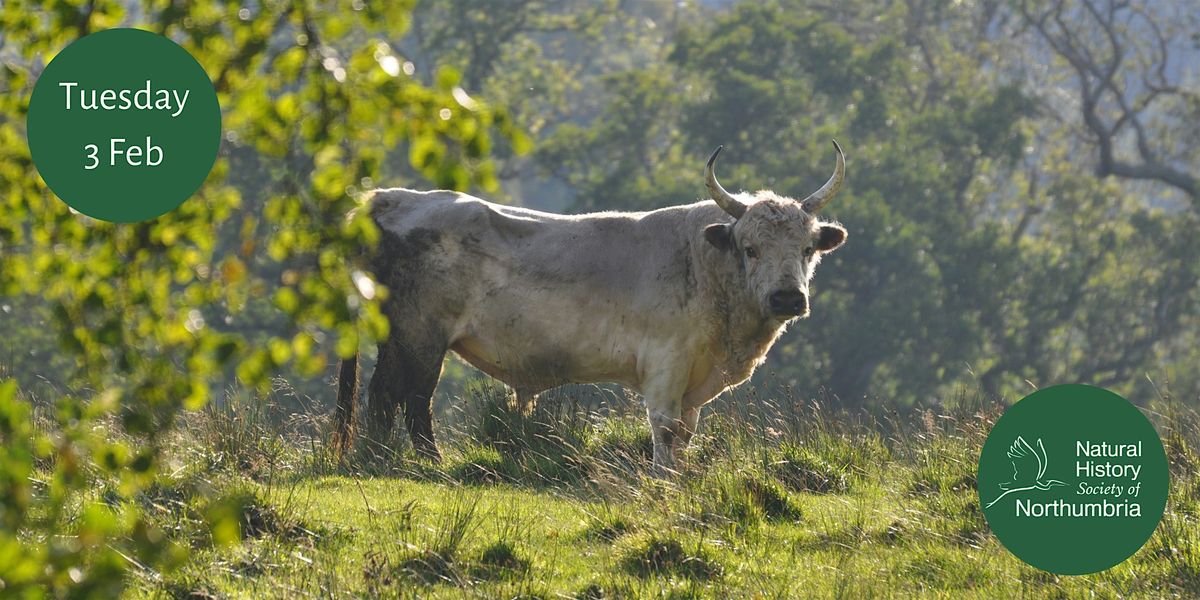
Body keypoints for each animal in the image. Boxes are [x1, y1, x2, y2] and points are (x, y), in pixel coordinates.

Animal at [333, 142, 848, 471]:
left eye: (808, 249)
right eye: (750, 248)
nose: (788, 297)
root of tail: (392, 197)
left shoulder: (694, 382)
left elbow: (685, 432)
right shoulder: (666, 364)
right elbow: (664, 429)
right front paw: (664, 480)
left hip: (399, 338)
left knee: (384, 397)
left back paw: (379, 458)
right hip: (421, 337)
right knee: (411, 399)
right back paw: (423, 463)